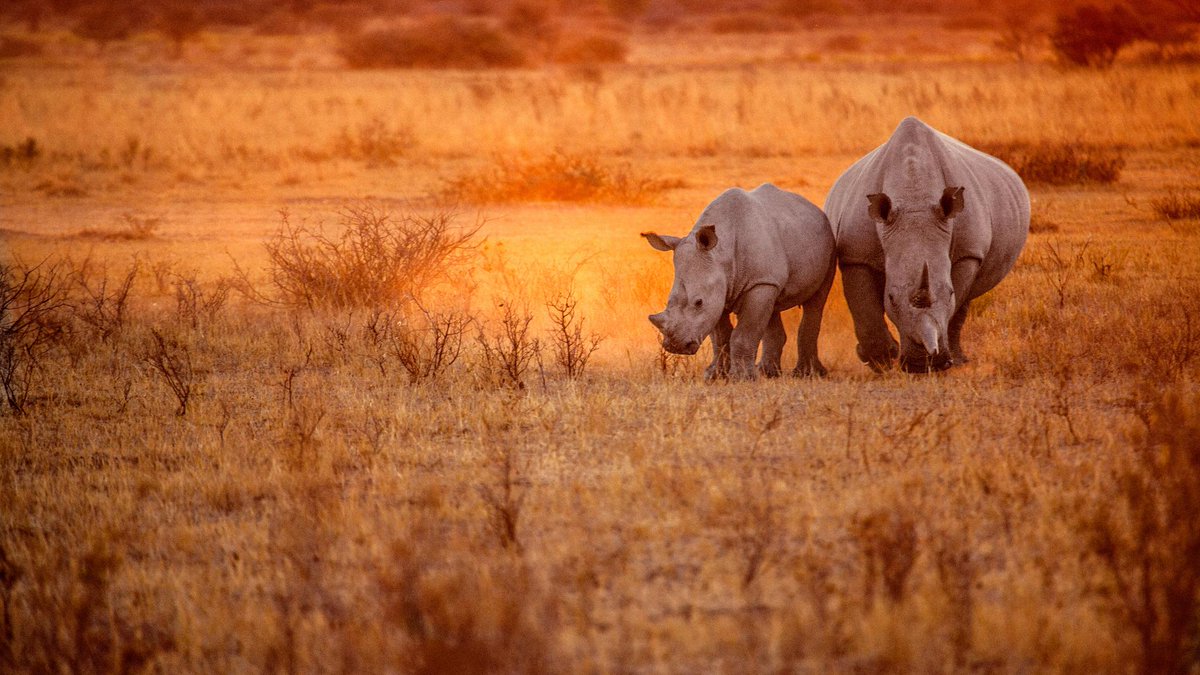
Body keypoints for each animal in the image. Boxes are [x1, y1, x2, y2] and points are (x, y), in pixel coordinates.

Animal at [642, 183, 836, 381]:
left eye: (698, 302)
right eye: (668, 301)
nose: (675, 346)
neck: (720, 254)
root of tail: (815, 208)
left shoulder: (758, 283)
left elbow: (744, 334)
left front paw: (742, 378)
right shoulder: (721, 290)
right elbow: (720, 337)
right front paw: (715, 376)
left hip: (828, 244)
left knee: (816, 302)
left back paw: (806, 374)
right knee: (772, 306)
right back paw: (768, 373)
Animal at [825, 117, 1030, 373]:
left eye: (949, 293)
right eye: (891, 298)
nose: (922, 364)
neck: (914, 198)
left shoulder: (968, 252)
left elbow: (956, 302)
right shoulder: (855, 255)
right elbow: (863, 305)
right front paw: (880, 361)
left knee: (967, 299)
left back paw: (959, 360)